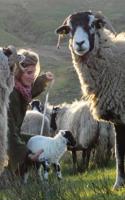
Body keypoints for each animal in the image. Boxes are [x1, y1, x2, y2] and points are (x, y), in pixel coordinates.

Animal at [56, 10, 125, 189]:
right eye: (69, 29)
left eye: (93, 24)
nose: (79, 43)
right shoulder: (118, 117)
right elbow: (119, 152)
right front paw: (118, 184)